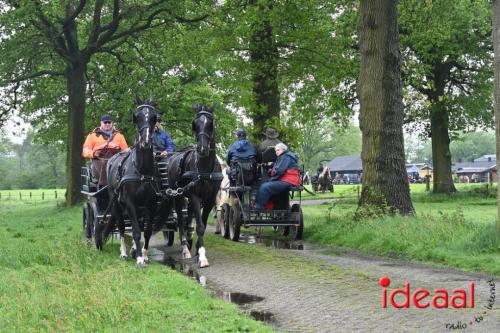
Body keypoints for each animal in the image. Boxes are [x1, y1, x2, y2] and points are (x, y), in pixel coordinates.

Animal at [105, 95, 158, 268]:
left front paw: (144, 255)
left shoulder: (151, 204)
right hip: (116, 203)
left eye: (154, 117)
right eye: (136, 117)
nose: (146, 141)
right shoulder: (130, 202)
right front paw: (140, 259)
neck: (142, 170)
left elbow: (146, 230)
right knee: (121, 226)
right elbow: (134, 231)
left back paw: (134, 249)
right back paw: (123, 253)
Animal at [162, 104, 221, 268]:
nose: (202, 148)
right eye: (195, 124)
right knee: (182, 221)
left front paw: (198, 249)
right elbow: (199, 225)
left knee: (188, 220)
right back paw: (184, 249)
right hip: (178, 196)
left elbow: (202, 224)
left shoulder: (210, 199)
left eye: (211, 124)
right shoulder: (195, 196)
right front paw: (202, 256)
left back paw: (188, 243)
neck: (205, 169)